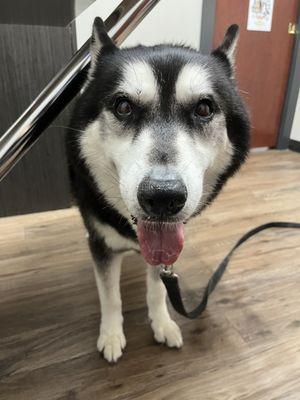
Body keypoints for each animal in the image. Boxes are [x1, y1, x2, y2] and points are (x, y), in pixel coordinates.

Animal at [67, 18, 250, 362]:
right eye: (123, 106)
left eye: (204, 109)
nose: (163, 197)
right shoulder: (102, 244)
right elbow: (110, 296)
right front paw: (111, 335)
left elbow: (157, 288)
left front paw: (162, 322)